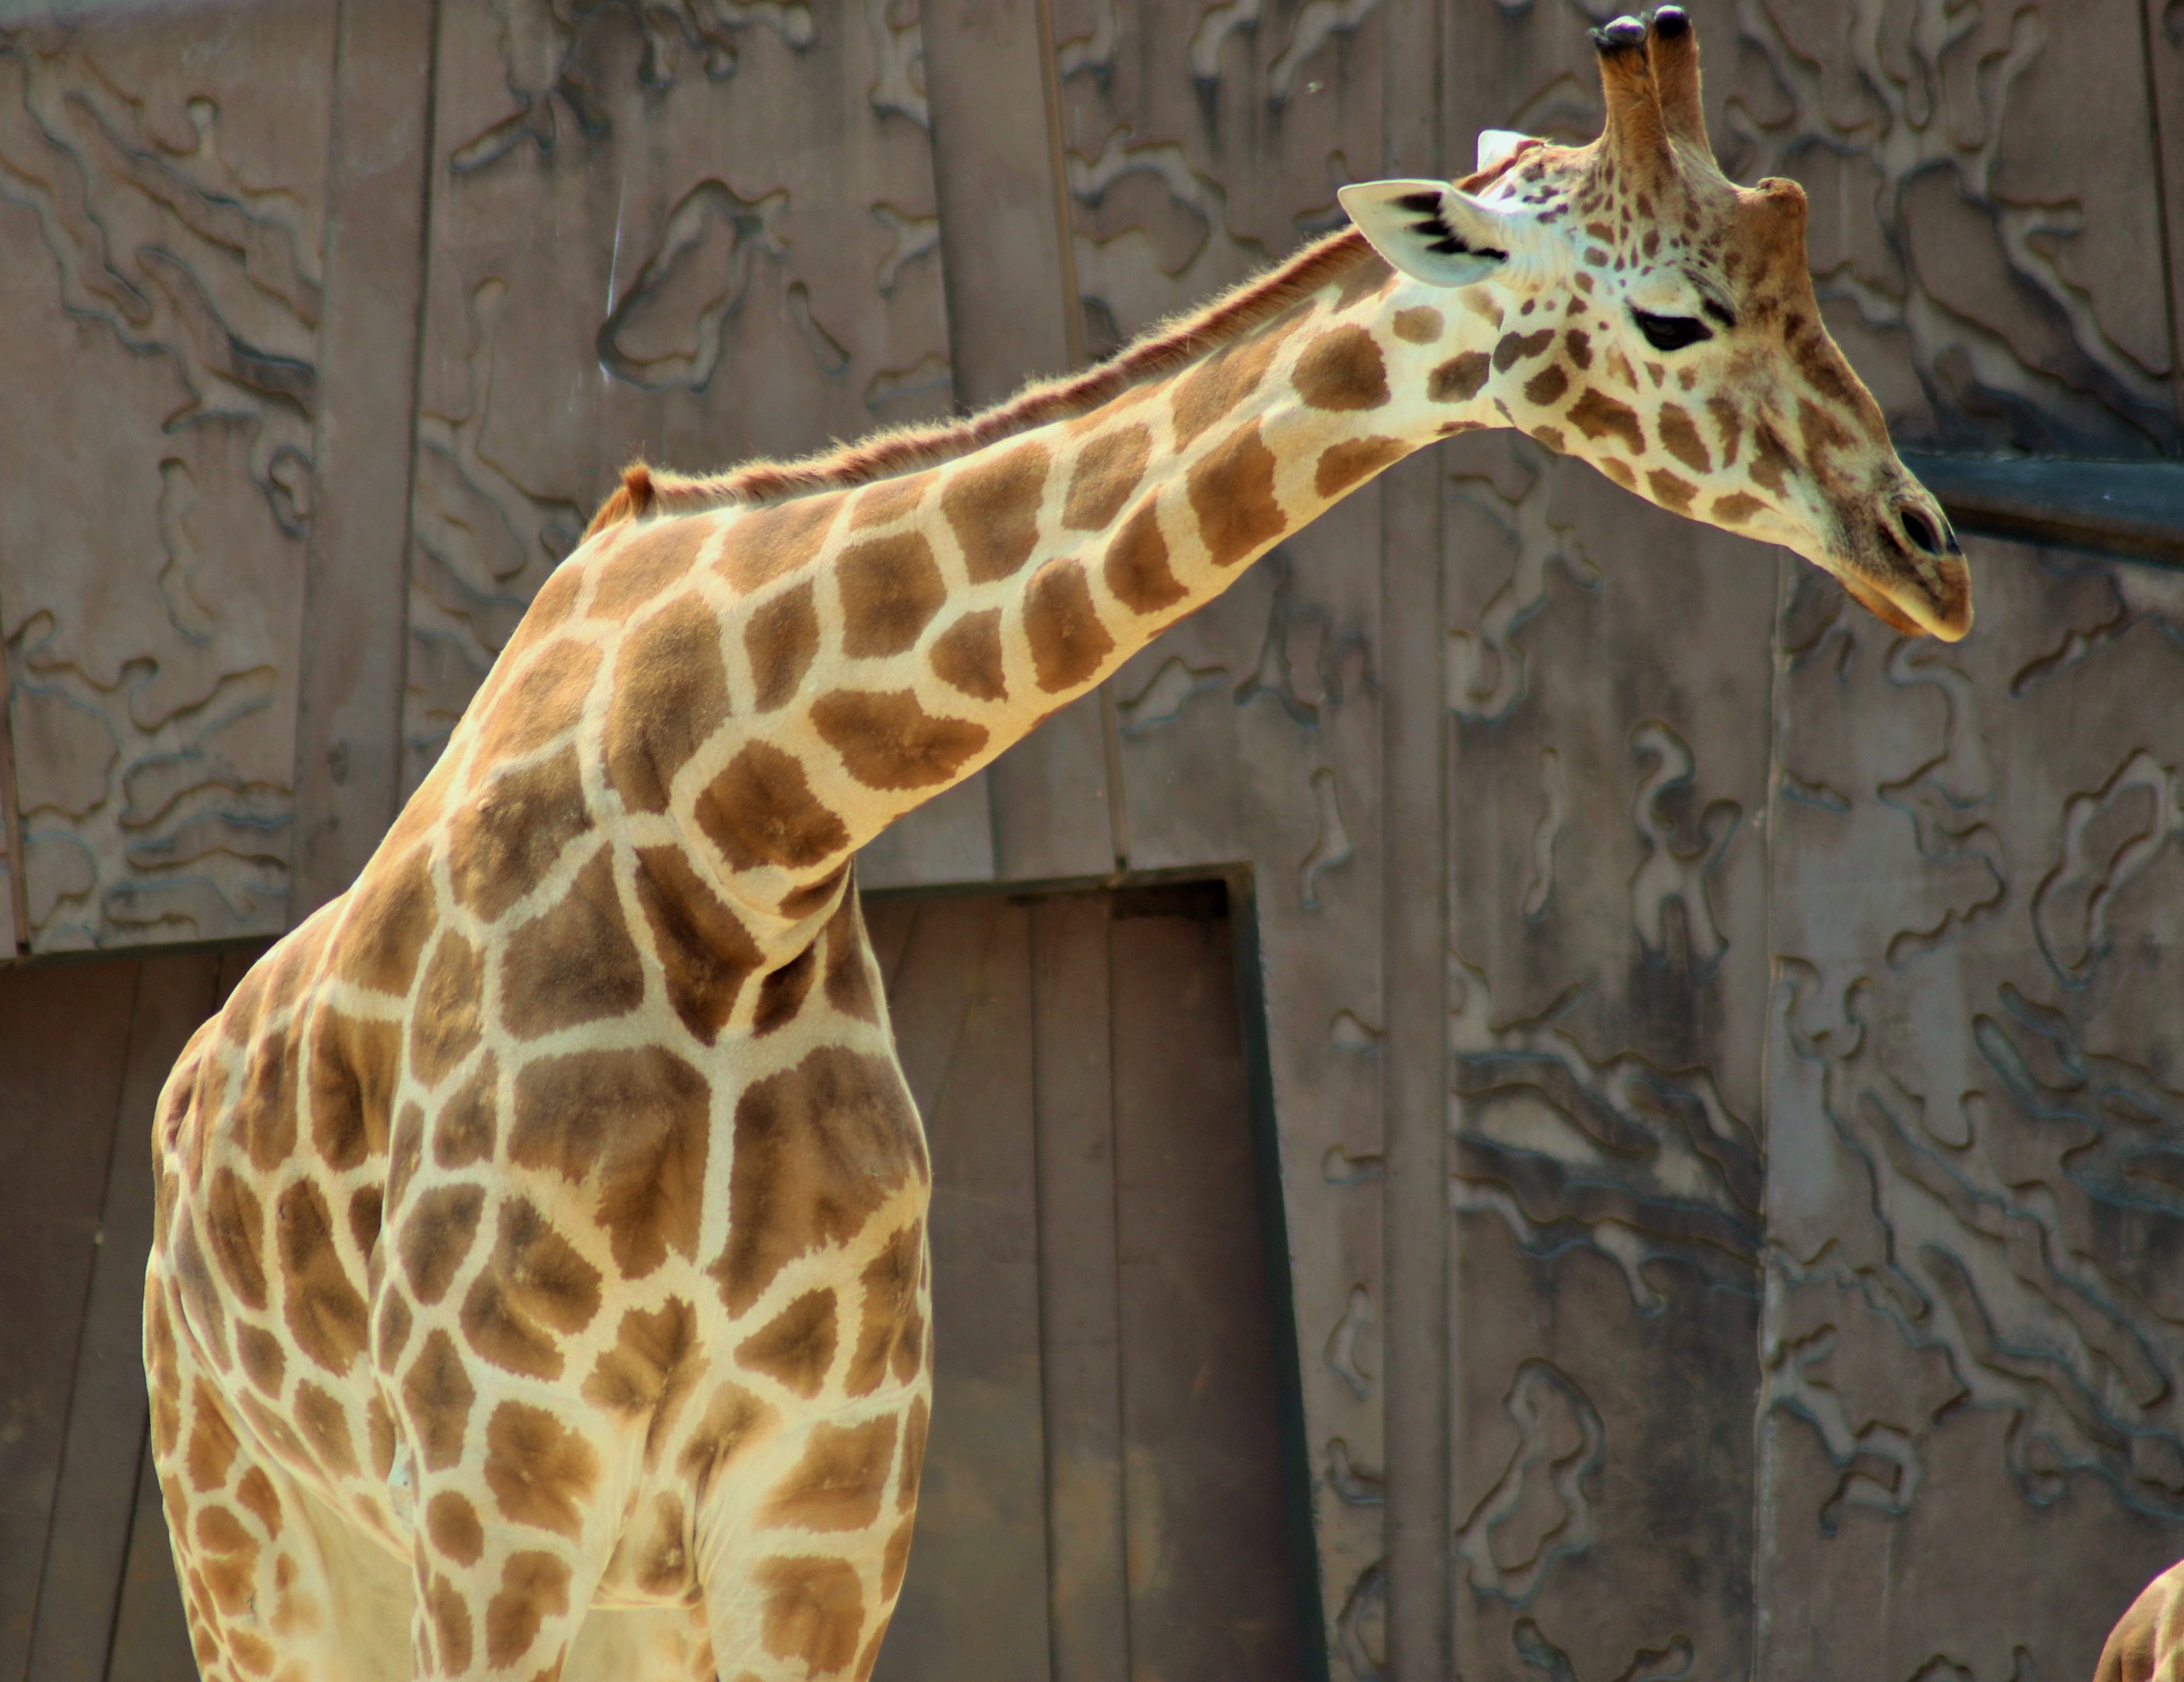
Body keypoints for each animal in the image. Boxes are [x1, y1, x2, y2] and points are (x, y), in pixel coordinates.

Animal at [142, 11, 1971, 1682]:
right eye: (1671, 315)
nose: (1929, 554)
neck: (735, 849)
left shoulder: (819, 1514)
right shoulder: (499, 1495)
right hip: (263, 1548)